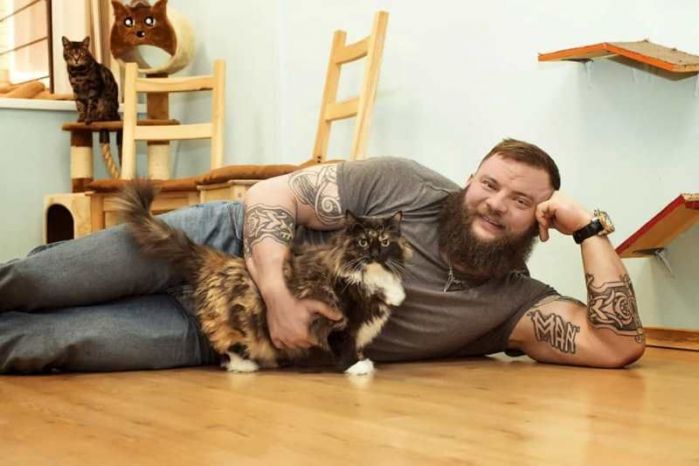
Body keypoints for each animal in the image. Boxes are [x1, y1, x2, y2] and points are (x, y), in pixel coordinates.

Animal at [116, 180, 412, 375]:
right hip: (237, 316)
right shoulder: (340, 322)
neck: (371, 277)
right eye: (362, 242)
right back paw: (245, 365)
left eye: (385, 242)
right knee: (225, 347)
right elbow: (346, 346)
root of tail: (220, 260)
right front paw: (357, 367)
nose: (374, 253)